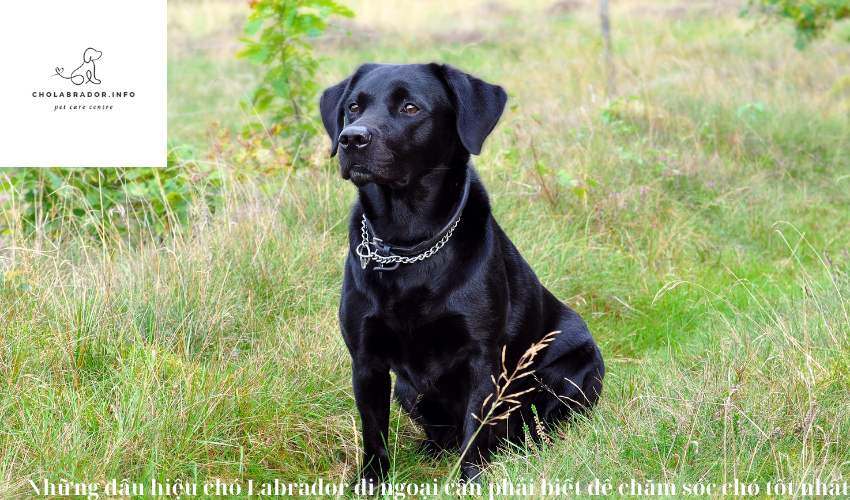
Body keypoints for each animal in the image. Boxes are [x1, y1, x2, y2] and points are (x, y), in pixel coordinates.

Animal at [318, 63, 604, 488]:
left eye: (410, 107)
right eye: (354, 107)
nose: (351, 138)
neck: (407, 244)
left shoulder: (480, 358)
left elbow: (474, 430)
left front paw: (472, 480)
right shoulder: (366, 361)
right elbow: (373, 432)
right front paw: (371, 482)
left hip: (572, 372)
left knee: (539, 425)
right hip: (407, 390)